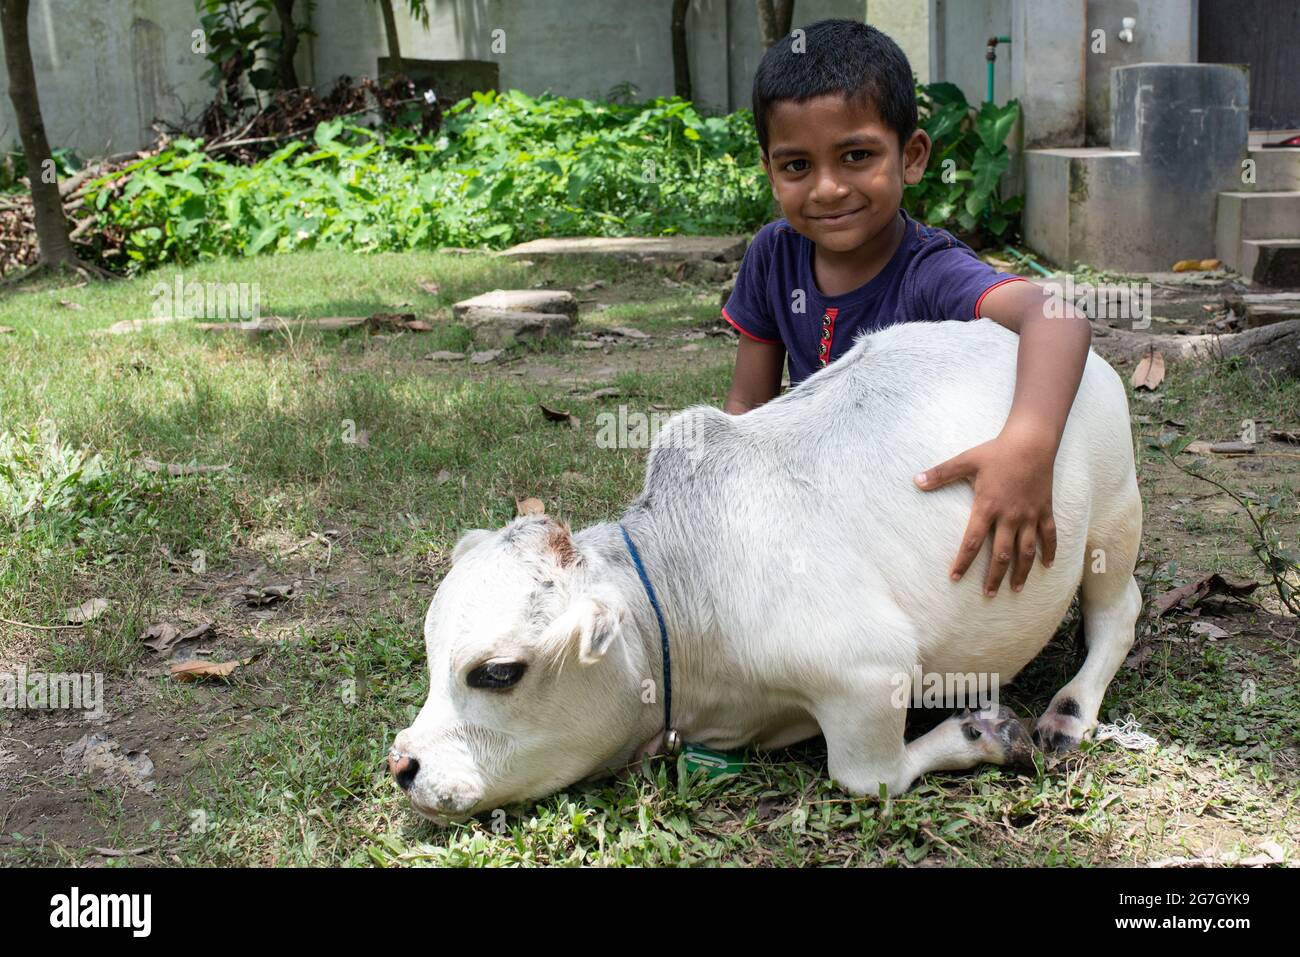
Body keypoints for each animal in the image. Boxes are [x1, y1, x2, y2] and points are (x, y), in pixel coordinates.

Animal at [384, 317, 1138, 816]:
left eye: (498, 673)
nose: (402, 764)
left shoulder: (872, 672)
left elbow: (870, 777)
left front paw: (983, 732)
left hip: (1114, 515)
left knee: (1117, 614)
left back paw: (1069, 712)